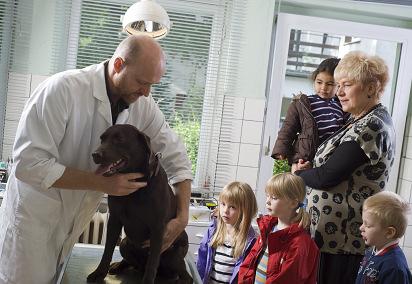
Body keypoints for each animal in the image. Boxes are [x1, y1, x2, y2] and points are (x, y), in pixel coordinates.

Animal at [86, 124, 192, 284]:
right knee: (130, 262)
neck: (135, 189)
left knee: (185, 275)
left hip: (173, 254)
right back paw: (118, 266)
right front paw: (99, 273)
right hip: (124, 244)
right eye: (102, 139)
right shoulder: (114, 220)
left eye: (119, 139)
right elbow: (107, 250)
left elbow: (152, 262)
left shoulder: (158, 229)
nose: (95, 154)